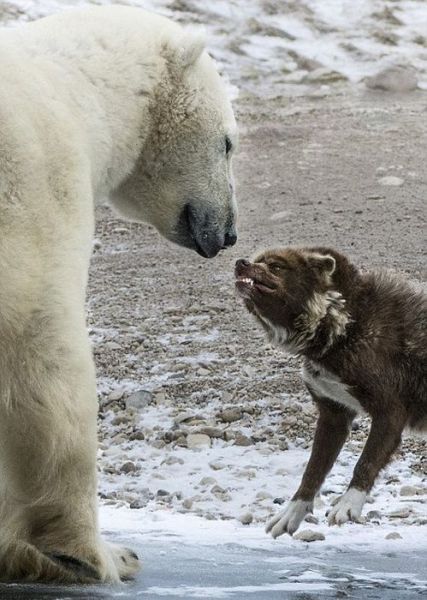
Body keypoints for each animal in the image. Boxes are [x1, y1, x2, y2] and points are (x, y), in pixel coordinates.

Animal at [0, 4, 237, 584]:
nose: (229, 232)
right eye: (227, 142)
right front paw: (94, 554)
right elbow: (46, 358)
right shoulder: (37, 189)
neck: (80, 92)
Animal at [236, 246, 426, 536]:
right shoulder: (333, 416)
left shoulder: (390, 412)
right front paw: (293, 511)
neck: (345, 321)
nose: (240, 262)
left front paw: (349, 503)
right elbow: (312, 470)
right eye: (257, 261)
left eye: (276, 266)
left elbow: (365, 462)